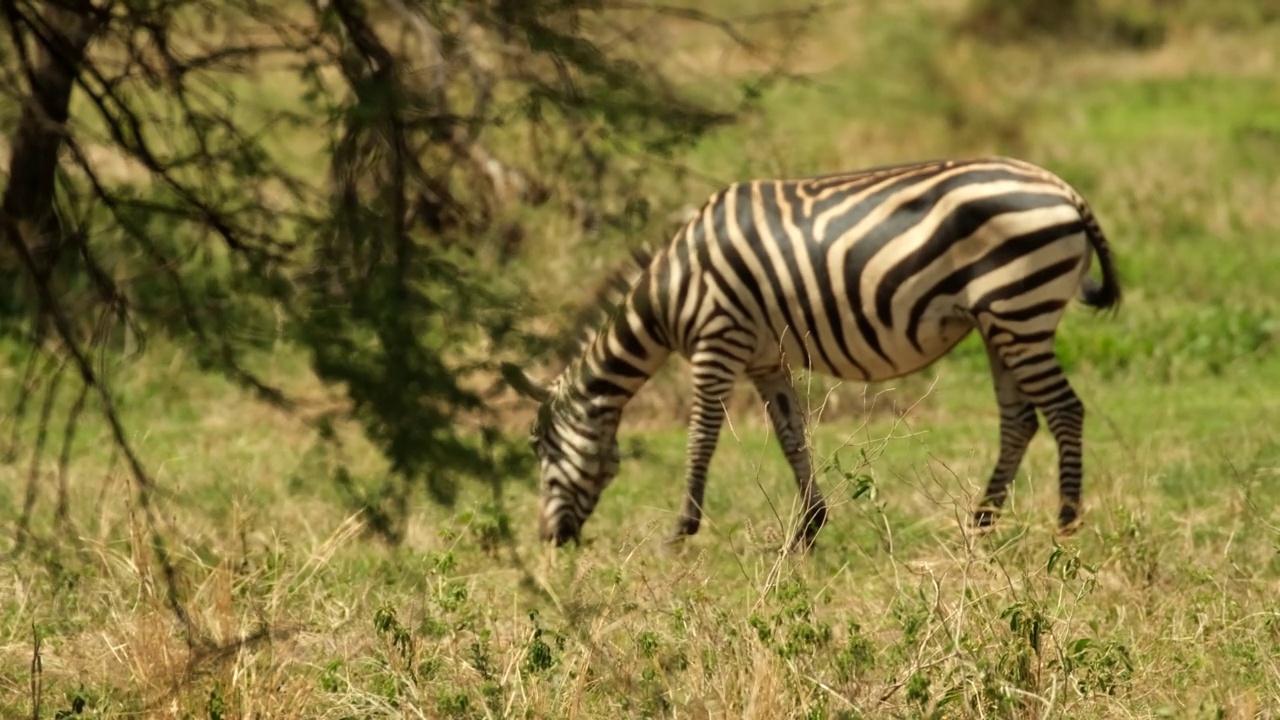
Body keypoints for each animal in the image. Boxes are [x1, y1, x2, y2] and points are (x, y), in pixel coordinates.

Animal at [512, 155, 1121, 543]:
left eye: (541, 454)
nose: (549, 541)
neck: (670, 292)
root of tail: (1064, 189)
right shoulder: (764, 358)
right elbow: (790, 435)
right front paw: (808, 529)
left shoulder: (717, 342)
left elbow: (701, 438)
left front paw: (681, 531)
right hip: (1002, 322)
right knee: (1019, 420)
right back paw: (981, 522)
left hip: (1019, 309)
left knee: (1065, 410)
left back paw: (1065, 525)